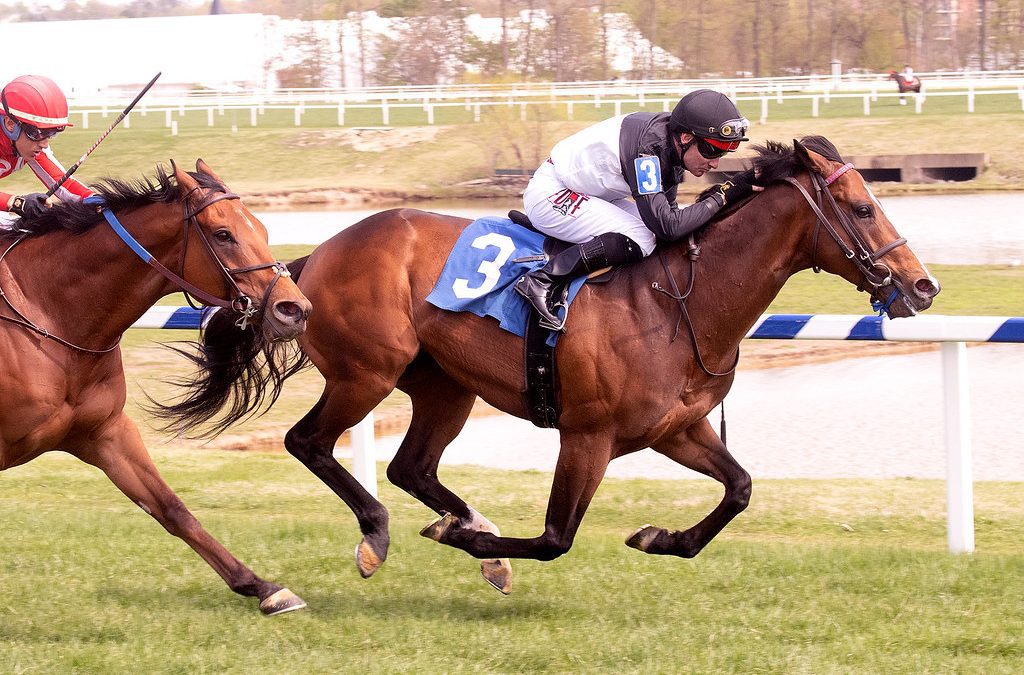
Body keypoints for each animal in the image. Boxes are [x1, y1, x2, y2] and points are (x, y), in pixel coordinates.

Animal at [0, 160, 312, 615]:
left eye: (261, 228)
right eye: (223, 233)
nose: (295, 310)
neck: (48, 311)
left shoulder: (105, 432)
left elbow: (170, 508)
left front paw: (264, 587)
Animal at [154, 136, 940, 594]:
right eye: (862, 208)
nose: (924, 285)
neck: (680, 302)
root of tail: (310, 257)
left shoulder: (676, 429)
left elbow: (741, 488)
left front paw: (663, 537)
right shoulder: (587, 435)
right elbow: (557, 537)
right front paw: (470, 538)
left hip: (444, 386)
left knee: (412, 467)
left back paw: (462, 530)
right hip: (366, 371)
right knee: (309, 441)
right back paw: (383, 534)